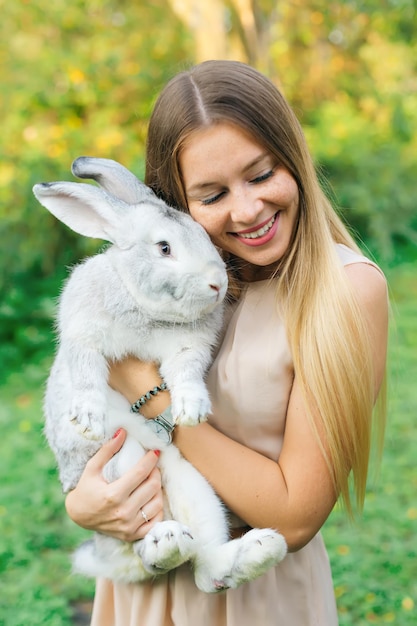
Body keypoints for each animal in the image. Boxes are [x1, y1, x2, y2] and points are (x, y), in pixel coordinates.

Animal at [33, 156, 286, 588]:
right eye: (164, 247)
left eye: (204, 234)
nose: (217, 284)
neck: (144, 309)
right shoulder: (83, 335)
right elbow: (84, 372)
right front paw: (86, 420)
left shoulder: (188, 349)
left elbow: (185, 374)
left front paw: (192, 411)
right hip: (124, 461)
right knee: (147, 546)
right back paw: (165, 541)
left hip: (196, 489)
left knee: (204, 568)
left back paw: (260, 548)